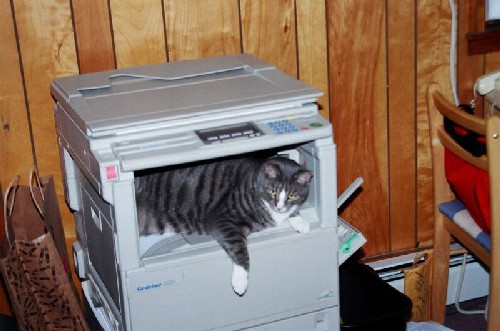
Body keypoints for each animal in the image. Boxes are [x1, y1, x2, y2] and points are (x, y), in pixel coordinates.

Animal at [133, 157, 312, 296]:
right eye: (272, 192)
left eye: (292, 195)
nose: (279, 207)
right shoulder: (224, 221)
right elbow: (240, 251)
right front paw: (240, 281)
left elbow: (293, 211)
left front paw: (301, 222)